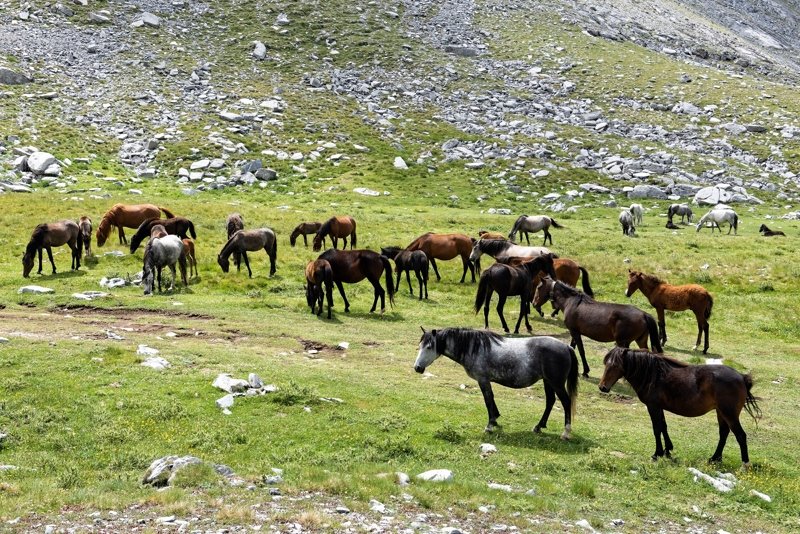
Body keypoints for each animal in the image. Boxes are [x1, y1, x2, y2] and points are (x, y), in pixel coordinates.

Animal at [414, 328, 578, 439]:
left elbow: (488, 400)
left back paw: (565, 432)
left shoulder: (483, 380)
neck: (475, 348)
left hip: (556, 383)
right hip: (547, 382)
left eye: (429, 347)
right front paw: (496, 420)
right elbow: (491, 399)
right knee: (550, 401)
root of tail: (566, 347)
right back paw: (538, 427)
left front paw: (490, 425)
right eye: (419, 346)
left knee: (566, 402)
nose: (417, 368)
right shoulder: (486, 381)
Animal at [533, 277, 662, 377]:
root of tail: (644, 314)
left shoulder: (575, 332)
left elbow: (581, 351)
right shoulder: (575, 332)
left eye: (538, 287)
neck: (571, 302)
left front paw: (585, 371)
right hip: (640, 340)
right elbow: (572, 347)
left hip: (622, 342)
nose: (534, 303)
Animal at [599, 347, 760, 466]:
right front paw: (667, 450)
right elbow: (663, 427)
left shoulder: (653, 406)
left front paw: (657, 454)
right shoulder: (659, 407)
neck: (653, 375)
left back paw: (745, 464)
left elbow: (656, 429)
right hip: (721, 413)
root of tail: (742, 377)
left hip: (729, 414)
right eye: (606, 363)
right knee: (724, 434)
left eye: (615, 365)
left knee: (740, 436)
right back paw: (714, 459)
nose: (603, 387)